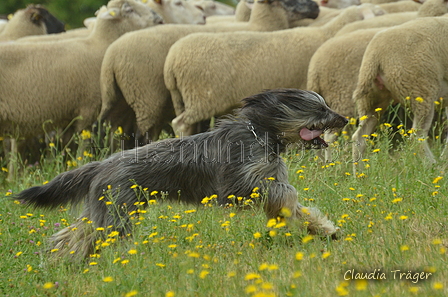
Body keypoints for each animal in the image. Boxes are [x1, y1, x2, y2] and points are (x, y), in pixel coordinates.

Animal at [0, 0, 162, 178]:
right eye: (130, 9)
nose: (159, 19)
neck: (101, 44)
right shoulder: (88, 110)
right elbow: (84, 145)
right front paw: (81, 164)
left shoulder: (70, 116)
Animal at [14, 89, 346, 258]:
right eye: (320, 109)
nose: (343, 119)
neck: (261, 132)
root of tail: (103, 164)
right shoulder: (238, 186)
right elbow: (286, 195)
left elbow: (300, 208)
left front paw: (326, 230)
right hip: (117, 215)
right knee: (85, 236)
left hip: (108, 212)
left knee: (74, 233)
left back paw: (60, 259)